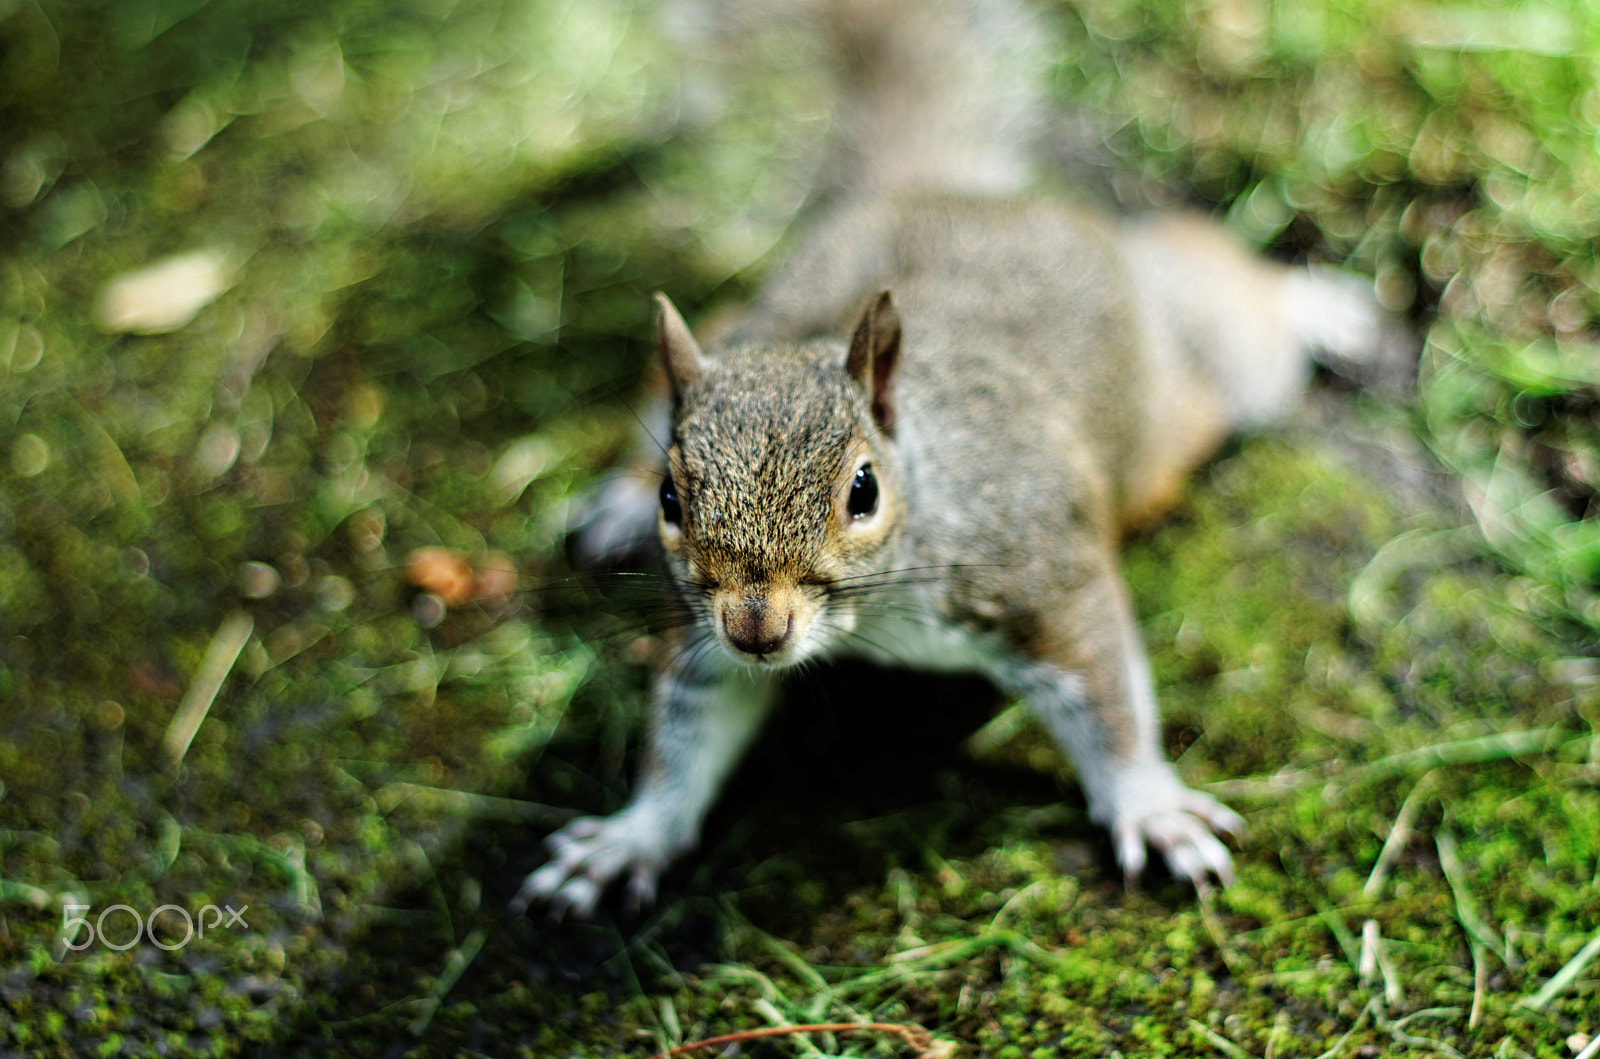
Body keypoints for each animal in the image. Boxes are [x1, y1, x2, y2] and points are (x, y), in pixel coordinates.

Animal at [515, 0, 1388, 921]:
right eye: (673, 499)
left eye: (863, 490)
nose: (758, 629)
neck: (881, 608)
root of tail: (954, 191)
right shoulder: (706, 637)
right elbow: (687, 733)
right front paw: (630, 835)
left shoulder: (1044, 577)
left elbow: (1109, 697)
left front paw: (1150, 805)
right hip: (750, 312)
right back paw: (609, 502)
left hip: (1211, 360)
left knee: (1223, 289)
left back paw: (1320, 305)